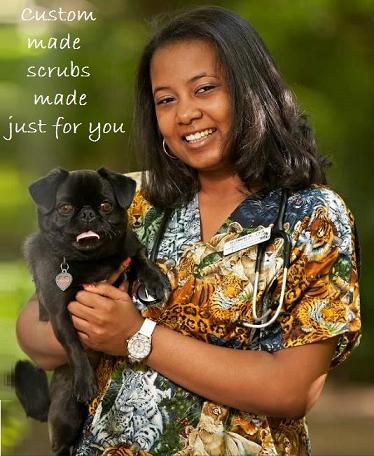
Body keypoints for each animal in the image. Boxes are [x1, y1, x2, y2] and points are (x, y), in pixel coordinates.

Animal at [14, 168, 169, 456]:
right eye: (65, 208)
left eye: (106, 206)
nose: (87, 213)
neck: (90, 262)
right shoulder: (60, 314)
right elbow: (74, 346)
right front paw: (85, 382)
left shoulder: (130, 248)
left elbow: (140, 258)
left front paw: (155, 280)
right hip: (67, 412)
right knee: (60, 443)